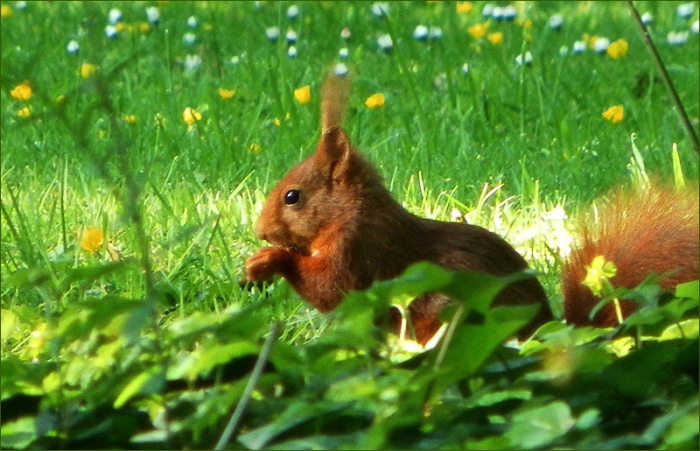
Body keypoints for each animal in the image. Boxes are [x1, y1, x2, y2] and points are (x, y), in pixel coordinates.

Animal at [245, 70, 553, 345]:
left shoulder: (358, 249)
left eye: (292, 196)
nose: (261, 231)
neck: (348, 213)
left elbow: (330, 288)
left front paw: (268, 259)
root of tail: (546, 323)